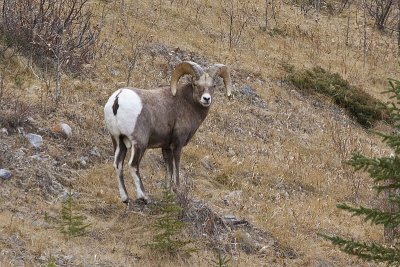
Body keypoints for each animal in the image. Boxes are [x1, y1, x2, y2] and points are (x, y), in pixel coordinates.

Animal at [104, 60, 233, 203]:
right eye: (196, 84)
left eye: (213, 85)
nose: (206, 99)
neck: (187, 104)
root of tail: (117, 99)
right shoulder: (177, 144)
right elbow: (176, 167)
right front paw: (178, 190)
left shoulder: (165, 147)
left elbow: (168, 169)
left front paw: (168, 192)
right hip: (139, 143)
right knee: (133, 165)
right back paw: (144, 197)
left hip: (118, 141)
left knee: (118, 165)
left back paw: (125, 198)